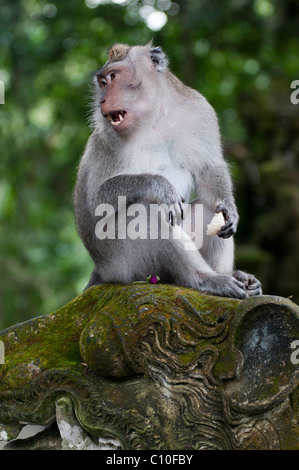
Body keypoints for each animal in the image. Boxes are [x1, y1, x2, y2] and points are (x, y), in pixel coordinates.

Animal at [74, 43, 262, 298]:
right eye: (102, 82)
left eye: (113, 77)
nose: (102, 100)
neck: (153, 116)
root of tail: (101, 270)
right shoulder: (105, 139)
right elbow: (96, 199)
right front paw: (160, 187)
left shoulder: (199, 109)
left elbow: (208, 168)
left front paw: (231, 210)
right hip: (120, 263)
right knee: (145, 211)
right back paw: (204, 279)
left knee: (209, 209)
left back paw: (230, 275)